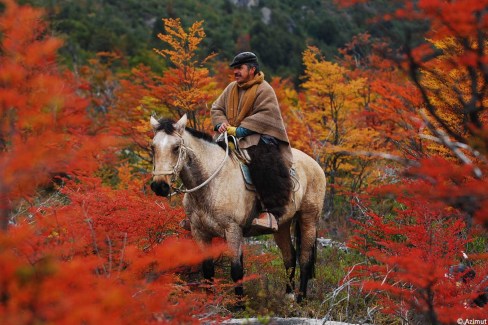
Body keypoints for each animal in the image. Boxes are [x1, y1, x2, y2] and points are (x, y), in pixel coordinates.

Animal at [149, 114, 324, 302]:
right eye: (153, 147)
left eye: (176, 148)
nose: (159, 186)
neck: (211, 183)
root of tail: (314, 164)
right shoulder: (200, 232)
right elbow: (208, 270)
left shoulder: (232, 230)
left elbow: (237, 271)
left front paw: (239, 305)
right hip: (283, 225)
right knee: (289, 256)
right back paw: (289, 297)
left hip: (308, 218)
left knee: (305, 258)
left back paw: (301, 299)